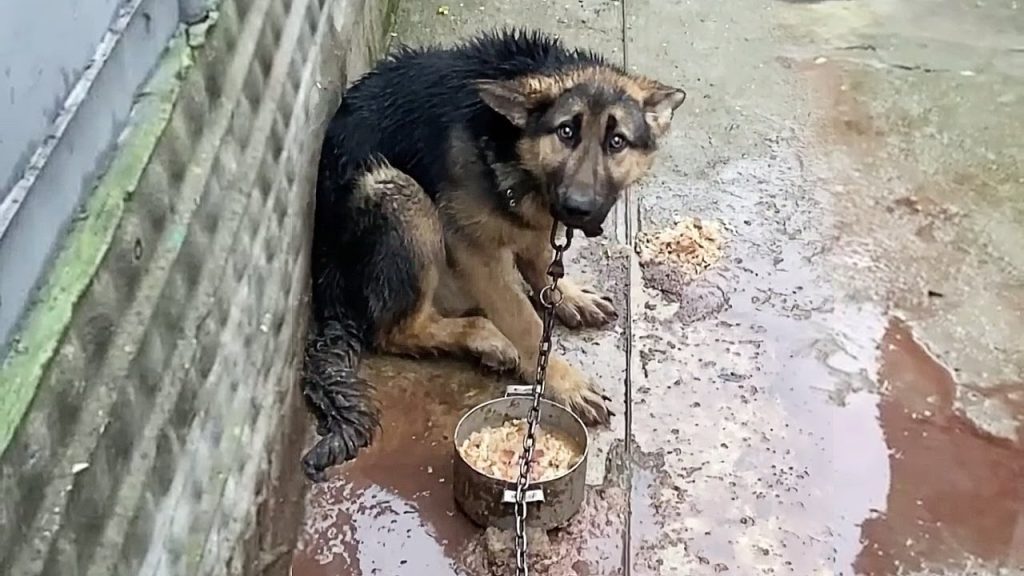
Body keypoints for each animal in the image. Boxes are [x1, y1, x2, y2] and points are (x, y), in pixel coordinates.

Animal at [301, 28, 686, 481]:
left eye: (617, 141)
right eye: (566, 132)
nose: (578, 208)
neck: (510, 141)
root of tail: (326, 288)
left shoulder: (539, 224)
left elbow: (542, 262)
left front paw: (567, 296)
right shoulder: (474, 250)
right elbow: (526, 323)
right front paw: (563, 381)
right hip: (397, 191)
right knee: (398, 329)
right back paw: (486, 337)